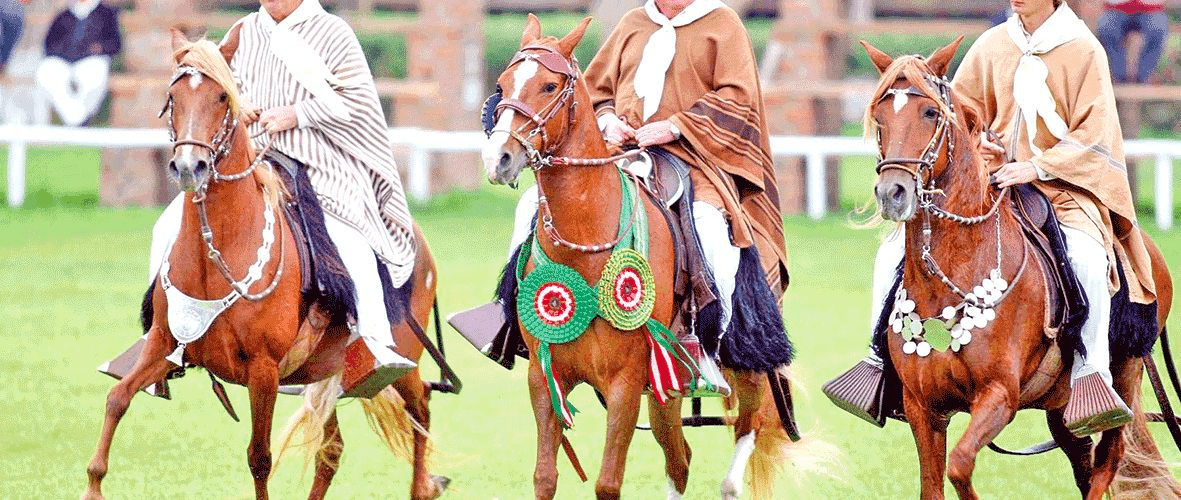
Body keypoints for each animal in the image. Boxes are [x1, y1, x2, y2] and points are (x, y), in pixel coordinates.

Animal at [81, 27, 449, 500]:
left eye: (222, 96)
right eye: (173, 95)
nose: (189, 166)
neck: (218, 251)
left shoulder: (264, 369)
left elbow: (259, 457)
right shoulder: (166, 342)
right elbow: (117, 400)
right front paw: (93, 484)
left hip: (399, 357)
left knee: (421, 403)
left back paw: (423, 486)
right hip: (322, 370)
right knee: (332, 451)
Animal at [481, 15, 822, 499]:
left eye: (549, 86)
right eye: (502, 84)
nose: (500, 159)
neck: (587, 242)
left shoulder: (625, 381)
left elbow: (608, 482)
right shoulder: (545, 378)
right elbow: (545, 478)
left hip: (746, 367)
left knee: (746, 433)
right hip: (667, 390)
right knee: (680, 459)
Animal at [862, 38, 1179, 499]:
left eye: (930, 113)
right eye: (880, 115)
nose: (893, 193)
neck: (955, 274)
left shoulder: (998, 396)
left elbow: (960, 465)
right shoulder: (922, 408)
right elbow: (933, 484)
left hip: (1123, 375)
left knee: (1109, 459)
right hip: (1063, 404)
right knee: (1082, 458)